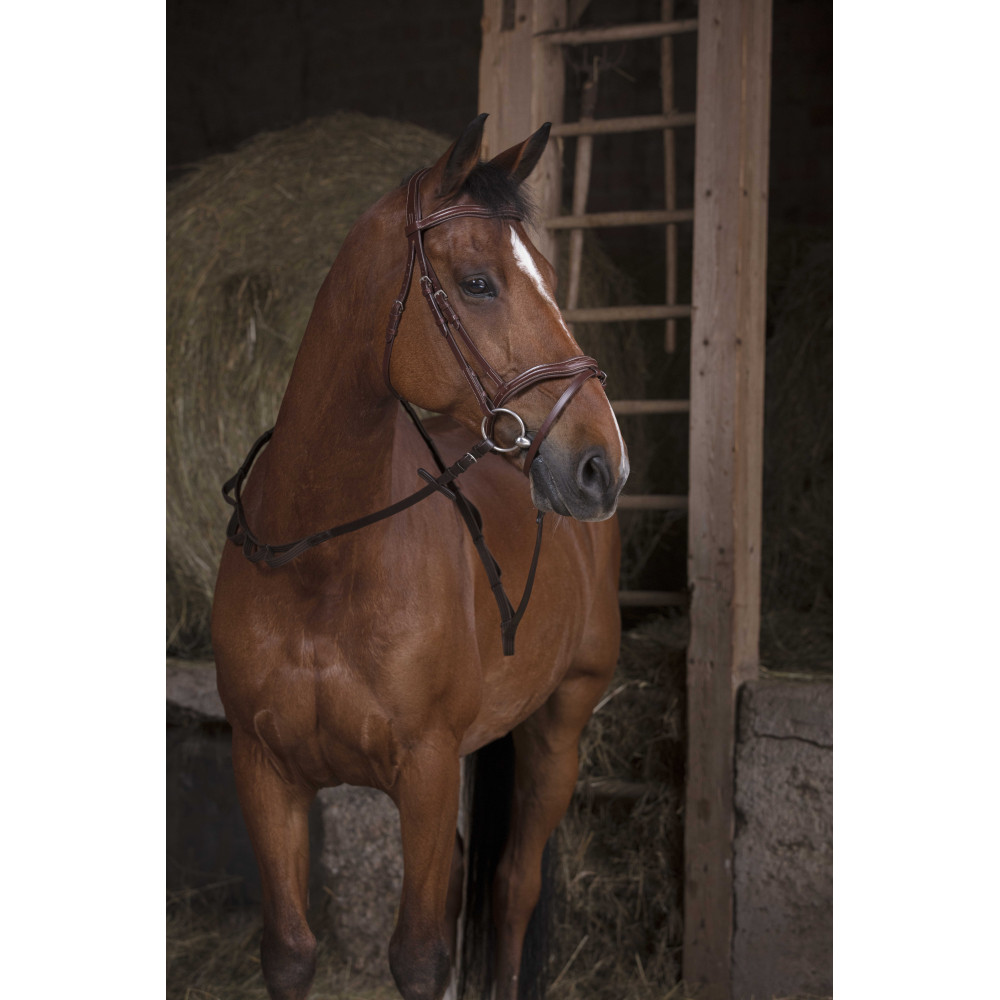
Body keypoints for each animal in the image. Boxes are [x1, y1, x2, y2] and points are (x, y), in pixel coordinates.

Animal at [211, 113, 628, 1000]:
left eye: (547, 276)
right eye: (477, 282)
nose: (601, 465)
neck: (321, 565)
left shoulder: (428, 772)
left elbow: (421, 956)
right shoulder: (264, 771)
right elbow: (290, 951)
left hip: (560, 730)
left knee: (513, 886)